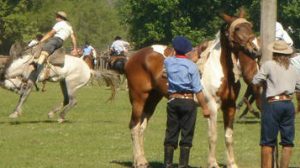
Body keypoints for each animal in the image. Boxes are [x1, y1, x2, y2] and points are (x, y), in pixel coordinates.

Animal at [124, 9, 260, 168]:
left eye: (250, 26)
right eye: (237, 28)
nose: (256, 51)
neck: (220, 69)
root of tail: (133, 57)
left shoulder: (230, 106)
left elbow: (228, 136)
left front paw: (232, 163)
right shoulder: (212, 107)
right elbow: (213, 136)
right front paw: (213, 163)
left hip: (152, 99)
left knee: (141, 128)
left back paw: (141, 160)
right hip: (139, 98)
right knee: (134, 126)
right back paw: (139, 161)